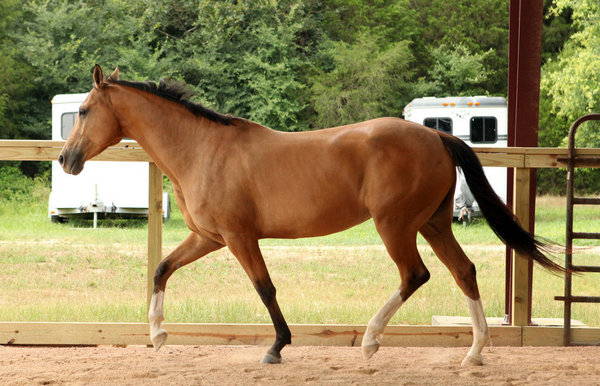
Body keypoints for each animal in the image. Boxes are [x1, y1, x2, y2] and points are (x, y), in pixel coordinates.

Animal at [58, 65, 560, 366]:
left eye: (83, 110)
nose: (66, 160)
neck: (202, 150)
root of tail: (438, 137)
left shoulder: (239, 238)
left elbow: (264, 288)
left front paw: (277, 347)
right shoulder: (209, 237)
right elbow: (162, 268)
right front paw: (158, 335)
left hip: (396, 226)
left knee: (415, 275)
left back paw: (372, 340)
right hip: (433, 224)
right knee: (464, 271)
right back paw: (474, 353)